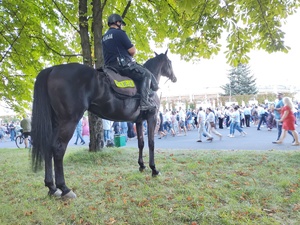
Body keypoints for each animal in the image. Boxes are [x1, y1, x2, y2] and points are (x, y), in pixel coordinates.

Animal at [31, 50, 176, 199]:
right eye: (170, 63)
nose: (174, 78)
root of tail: (53, 69)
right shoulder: (152, 118)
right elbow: (151, 143)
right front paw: (154, 169)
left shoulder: (139, 121)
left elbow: (140, 143)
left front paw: (141, 166)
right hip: (68, 121)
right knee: (58, 149)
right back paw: (64, 188)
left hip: (55, 123)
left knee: (48, 147)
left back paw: (52, 187)